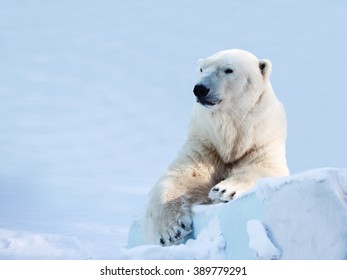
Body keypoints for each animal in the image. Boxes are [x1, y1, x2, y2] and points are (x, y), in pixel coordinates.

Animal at [143, 49, 290, 246]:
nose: (200, 89)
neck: (230, 134)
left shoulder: (261, 141)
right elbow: (181, 177)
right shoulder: (205, 143)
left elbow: (263, 169)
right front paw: (171, 230)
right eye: (201, 69)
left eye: (228, 70)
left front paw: (224, 190)